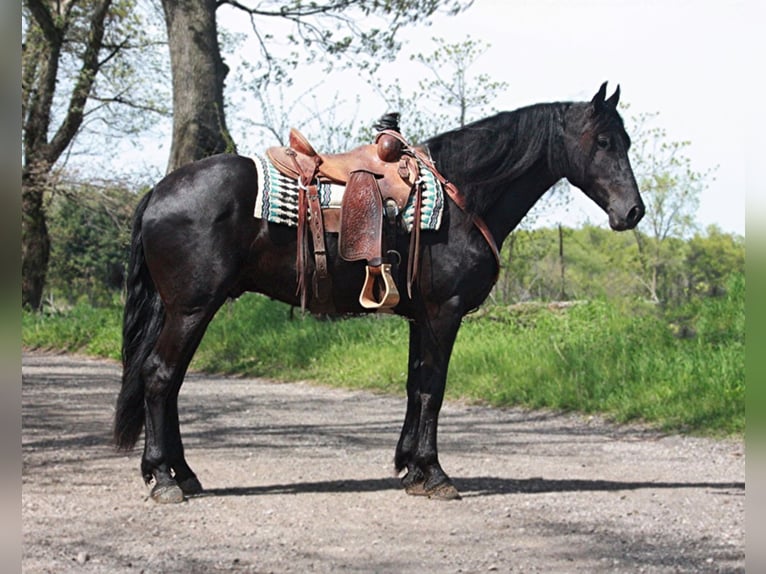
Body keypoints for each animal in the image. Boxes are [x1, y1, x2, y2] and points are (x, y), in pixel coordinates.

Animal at [114, 83, 644, 502]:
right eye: (603, 141)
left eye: (626, 141)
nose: (633, 211)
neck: (462, 197)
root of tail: (158, 192)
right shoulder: (444, 313)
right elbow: (433, 389)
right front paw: (434, 474)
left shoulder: (421, 316)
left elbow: (415, 386)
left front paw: (410, 467)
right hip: (191, 308)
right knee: (160, 377)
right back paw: (165, 479)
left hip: (186, 309)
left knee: (167, 381)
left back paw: (181, 473)